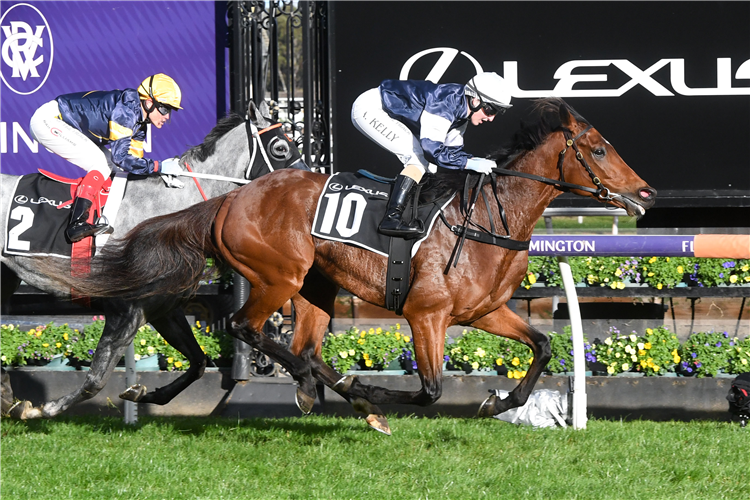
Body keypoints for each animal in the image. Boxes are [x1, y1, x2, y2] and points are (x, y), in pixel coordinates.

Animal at [1, 101, 308, 418]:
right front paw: (43, 409)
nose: (307, 185)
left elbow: (198, 363)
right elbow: (95, 380)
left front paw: (144, 394)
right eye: (280, 148)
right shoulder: (124, 308)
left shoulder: (164, 306)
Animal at [39, 99, 656, 432]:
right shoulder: (426, 315)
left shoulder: (484, 312)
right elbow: (429, 389)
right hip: (279, 276)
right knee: (250, 329)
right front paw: (376, 394)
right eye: (598, 149)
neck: (482, 220)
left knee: (304, 348)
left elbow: (544, 346)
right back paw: (343, 392)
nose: (645, 192)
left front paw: (499, 399)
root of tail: (230, 199)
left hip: (315, 287)